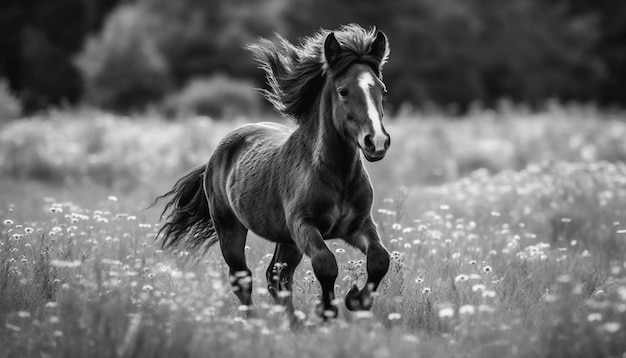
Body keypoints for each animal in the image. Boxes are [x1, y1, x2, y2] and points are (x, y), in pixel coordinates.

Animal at [155, 24, 390, 318]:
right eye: (343, 91)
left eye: (381, 89)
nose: (377, 142)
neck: (336, 176)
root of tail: (215, 156)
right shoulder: (304, 225)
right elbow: (326, 263)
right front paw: (327, 310)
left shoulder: (358, 224)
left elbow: (380, 259)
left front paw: (357, 300)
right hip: (230, 228)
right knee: (243, 277)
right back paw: (255, 321)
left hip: (286, 241)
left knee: (277, 278)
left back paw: (291, 322)